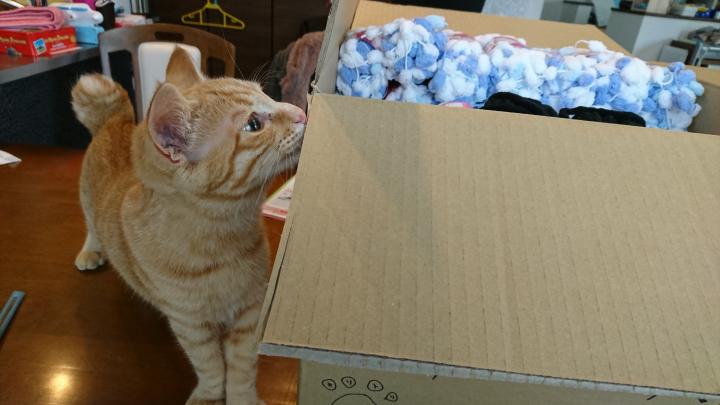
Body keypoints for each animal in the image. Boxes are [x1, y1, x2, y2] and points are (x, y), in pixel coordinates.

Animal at [71, 47, 306, 405]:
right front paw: (209, 395)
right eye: (253, 124)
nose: (301, 111)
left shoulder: (249, 312)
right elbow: (210, 366)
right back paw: (90, 251)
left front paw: (243, 398)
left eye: (267, 95)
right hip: (86, 200)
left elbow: (241, 368)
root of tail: (116, 120)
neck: (222, 239)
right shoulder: (190, 325)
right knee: (91, 226)